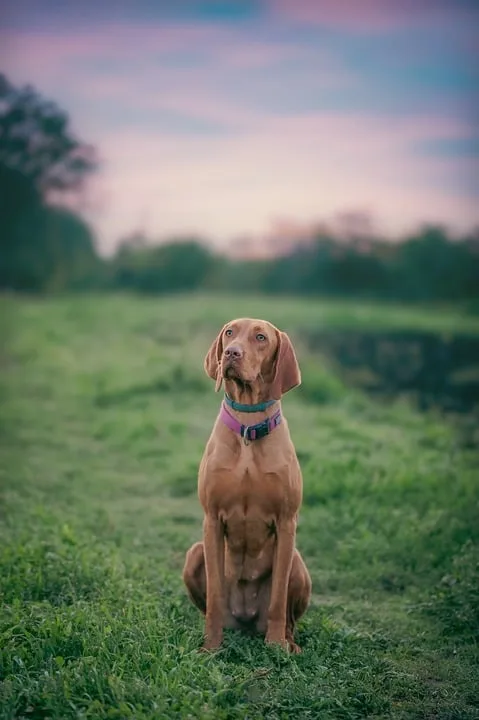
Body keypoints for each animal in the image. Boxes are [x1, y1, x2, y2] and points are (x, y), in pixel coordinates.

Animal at [183, 316, 312, 652]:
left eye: (261, 337)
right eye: (229, 332)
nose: (231, 353)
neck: (248, 428)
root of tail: (245, 620)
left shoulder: (286, 522)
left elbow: (278, 597)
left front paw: (276, 645)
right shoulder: (212, 521)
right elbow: (215, 597)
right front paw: (210, 647)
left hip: (297, 561)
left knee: (289, 616)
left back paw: (288, 641)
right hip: (194, 553)